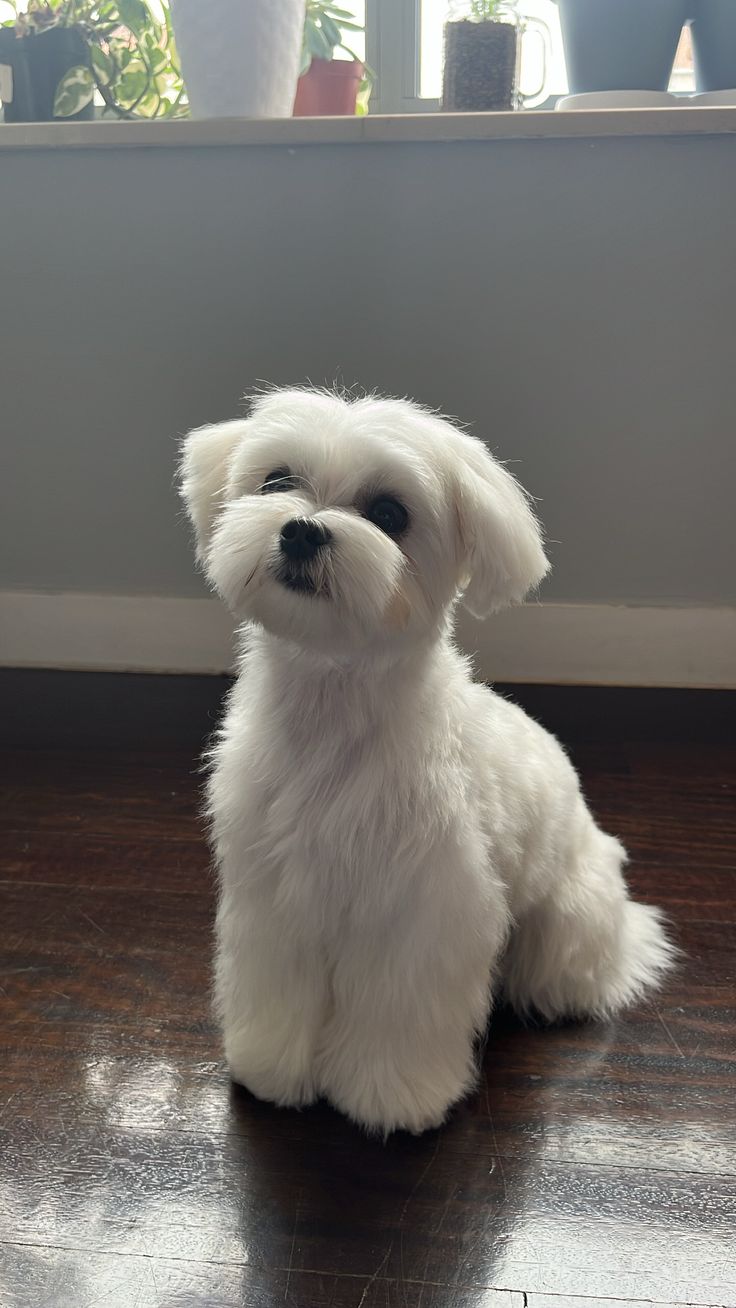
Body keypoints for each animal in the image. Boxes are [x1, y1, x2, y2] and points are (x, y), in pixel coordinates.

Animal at [180, 387, 674, 1135]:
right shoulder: (277, 896)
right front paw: (273, 1067)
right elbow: (280, 989)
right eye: (275, 480)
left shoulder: (424, 914)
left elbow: (398, 1014)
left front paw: (391, 1095)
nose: (302, 531)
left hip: (564, 927)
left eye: (390, 514)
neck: (334, 710)